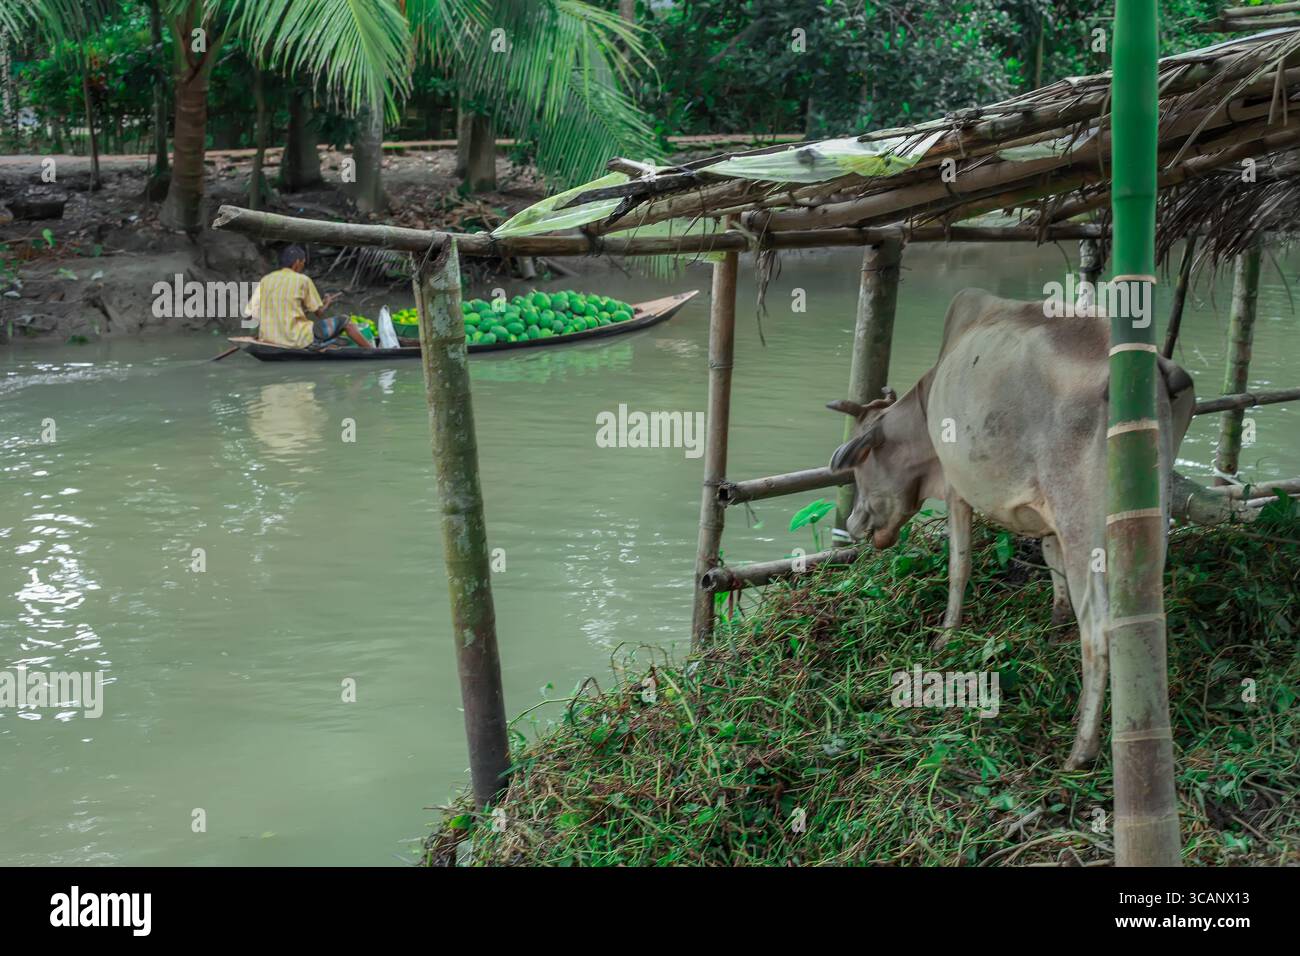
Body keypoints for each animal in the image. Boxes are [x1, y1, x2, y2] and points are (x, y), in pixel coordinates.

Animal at [828, 288, 1195, 769]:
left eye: (860, 467)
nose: (854, 525)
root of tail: (1155, 370)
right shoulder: (1046, 516)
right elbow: (1050, 560)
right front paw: (1056, 619)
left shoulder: (956, 486)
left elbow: (959, 566)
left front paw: (944, 636)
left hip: (1084, 523)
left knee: (1098, 630)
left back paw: (1081, 749)